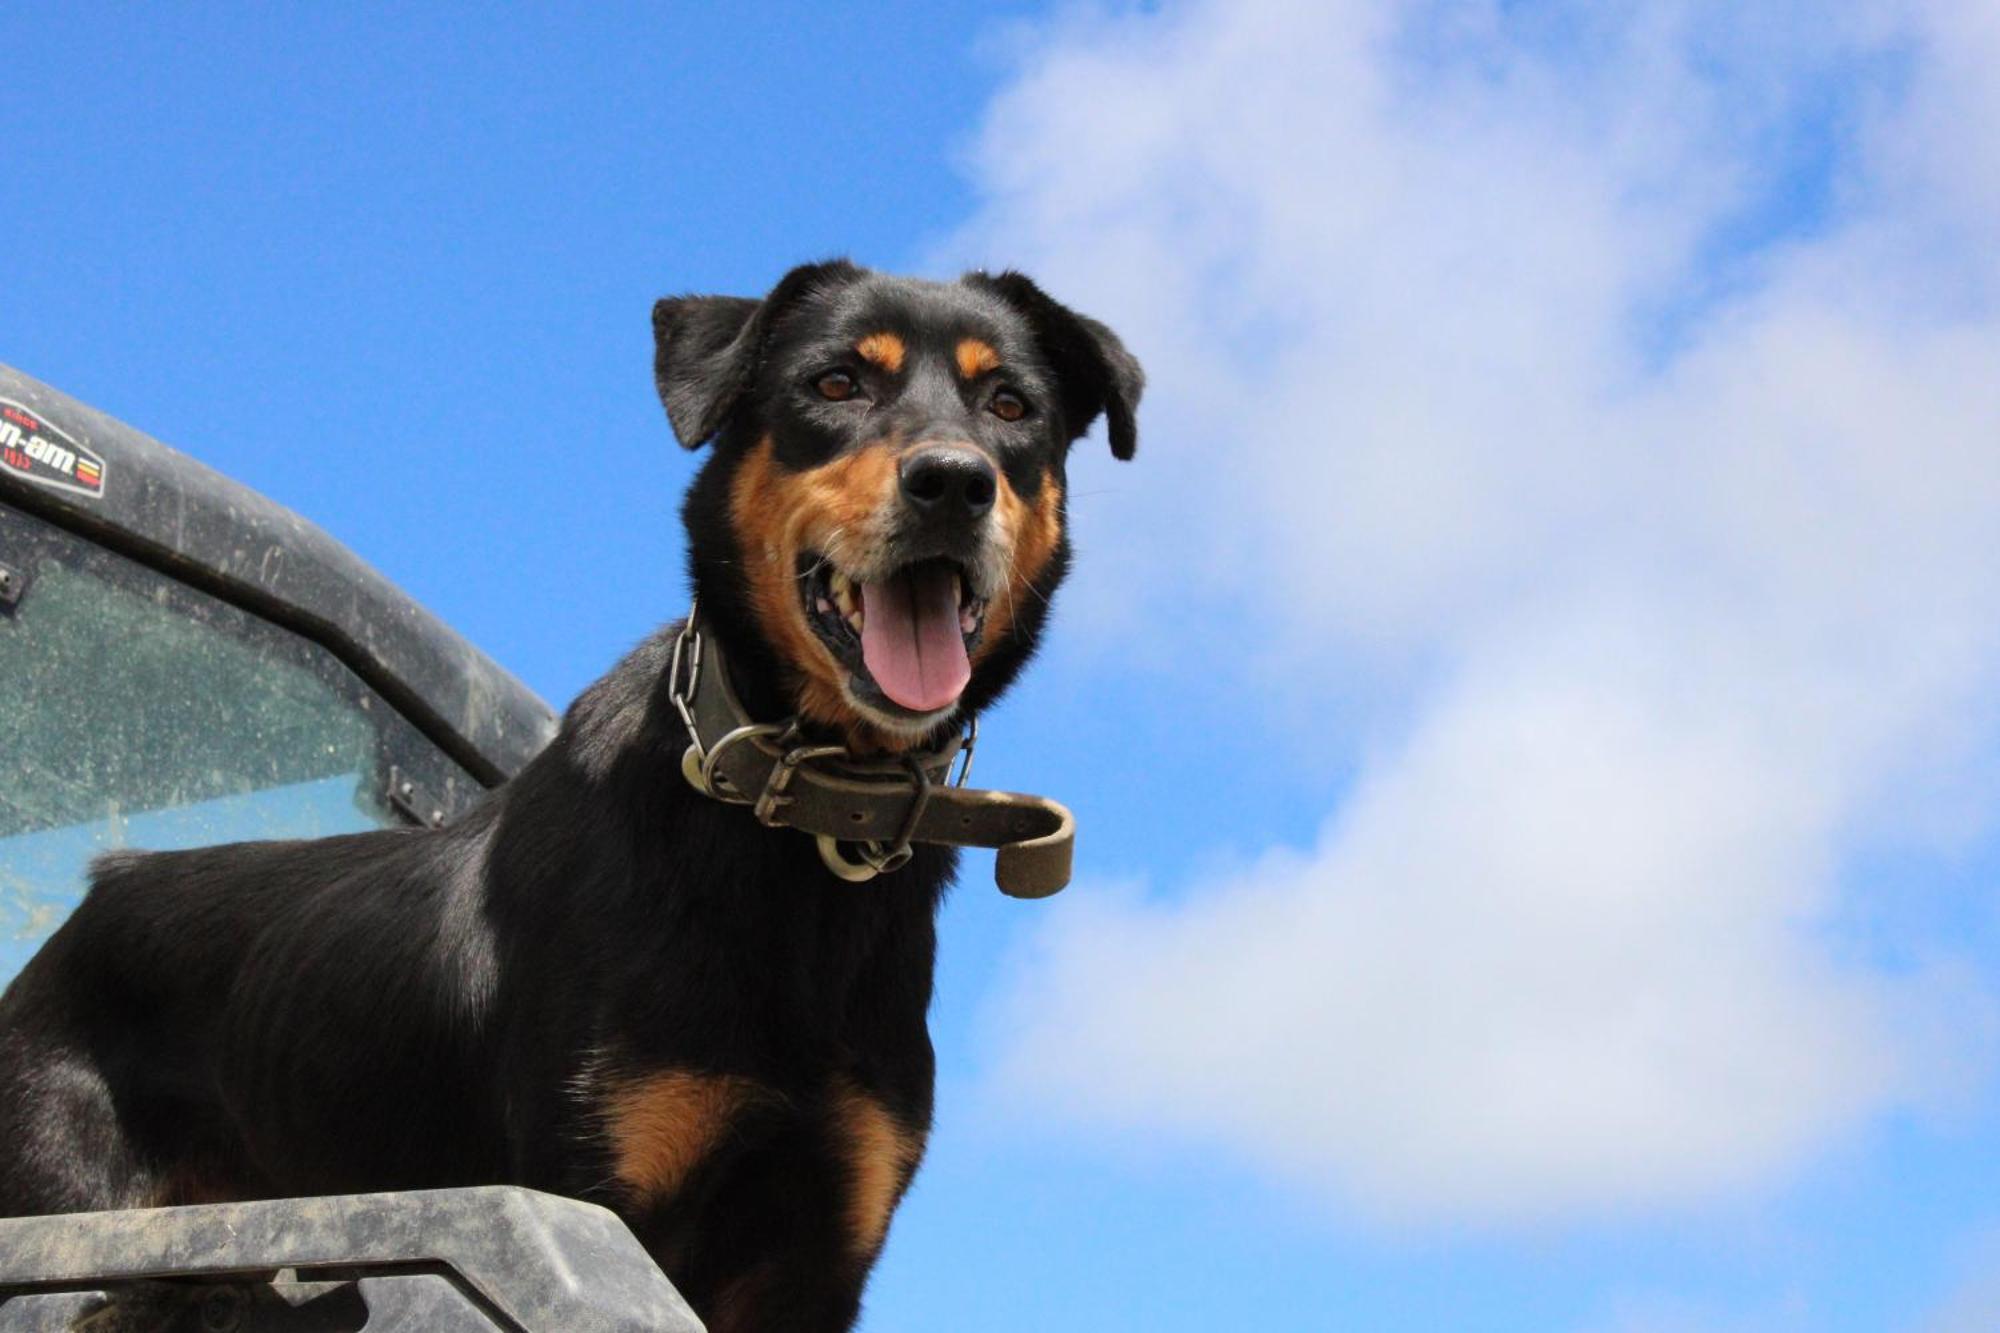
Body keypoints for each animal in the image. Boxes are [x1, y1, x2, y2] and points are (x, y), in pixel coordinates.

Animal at [0, 262, 1136, 1328]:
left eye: (1010, 406)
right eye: (836, 383)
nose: (953, 483)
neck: (795, 819)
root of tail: (96, 897)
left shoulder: (818, 1257)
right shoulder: (583, 1198)